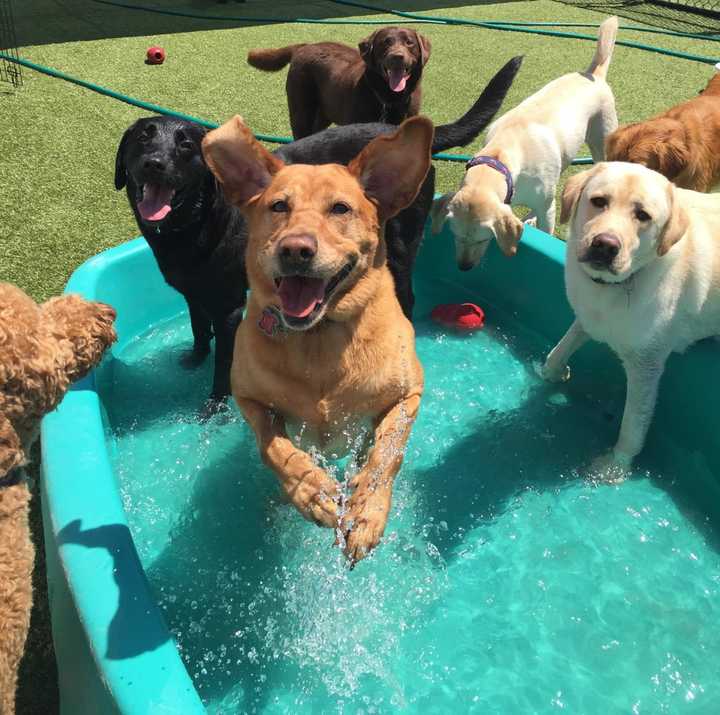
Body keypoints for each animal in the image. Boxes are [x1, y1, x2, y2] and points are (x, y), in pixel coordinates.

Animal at [200, 116, 430, 564]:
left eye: (340, 208)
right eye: (278, 206)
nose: (295, 249)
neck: (319, 338)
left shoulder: (408, 394)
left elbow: (387, 454)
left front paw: (367, 510)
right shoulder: (248, 398)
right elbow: (274, 447)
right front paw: (310, 488)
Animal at [434, 16, 620, 270]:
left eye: (483, 238)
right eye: (455, 235)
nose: (464, 267)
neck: (501, 154)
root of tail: (595, 74)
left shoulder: (548, 208)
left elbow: (547, 226)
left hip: (601, 143)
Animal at [544, 162, 720, 476]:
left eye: (643, 216)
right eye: (599, 201)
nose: (605, 245)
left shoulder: (645, 365)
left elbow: (633, 423)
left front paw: (616, 466)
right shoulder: (590, 316)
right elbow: (561, 348)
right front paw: (553, 372)